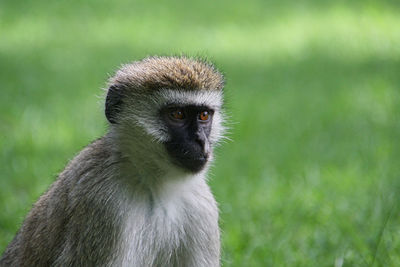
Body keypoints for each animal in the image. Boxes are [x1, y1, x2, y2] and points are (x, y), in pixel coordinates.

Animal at [0, 55, 227, 266]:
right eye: (178, 114)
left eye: (204, 115)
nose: (200, 141)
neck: (156, 185)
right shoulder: (102, 203)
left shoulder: (202, 206)